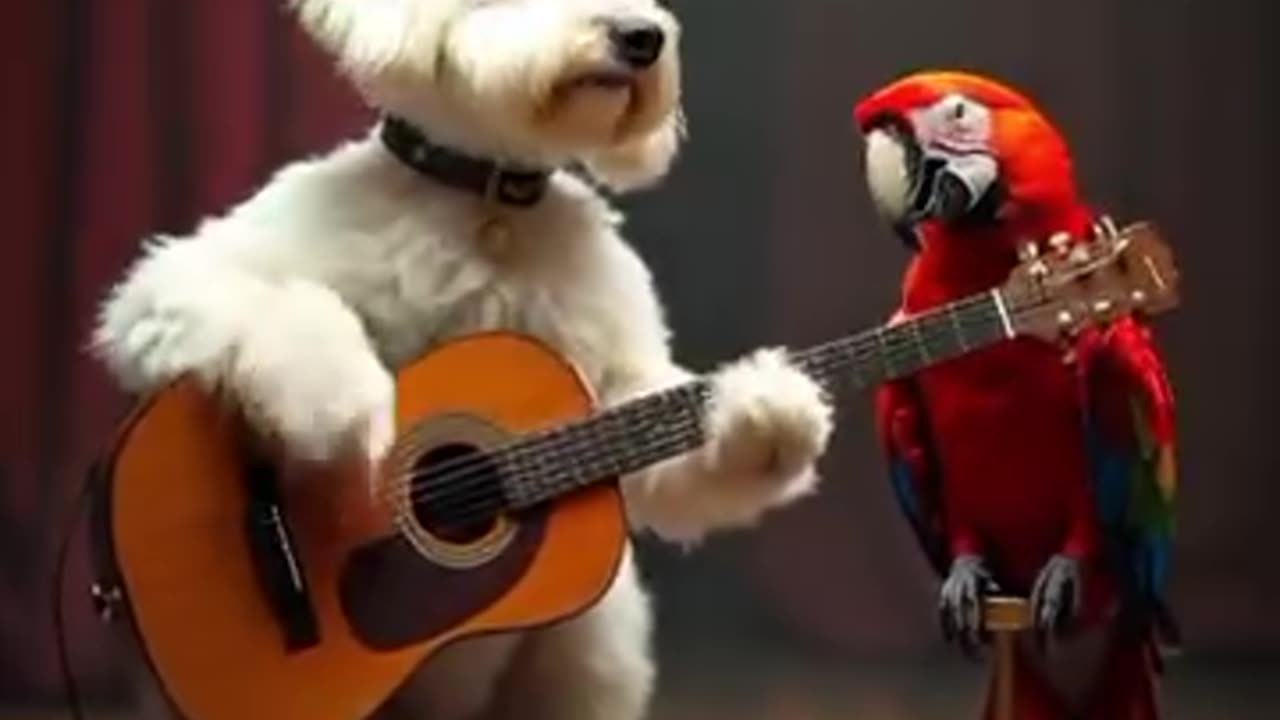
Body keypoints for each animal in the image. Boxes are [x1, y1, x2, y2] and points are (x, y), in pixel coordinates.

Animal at [87, 1, 829, 717]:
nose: (641, 37)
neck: (487, 202)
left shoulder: (616, 381)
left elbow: (667, 462)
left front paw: (766, 412)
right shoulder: (184, 279)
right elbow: (256, 301)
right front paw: (334, 403)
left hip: (588, 659)